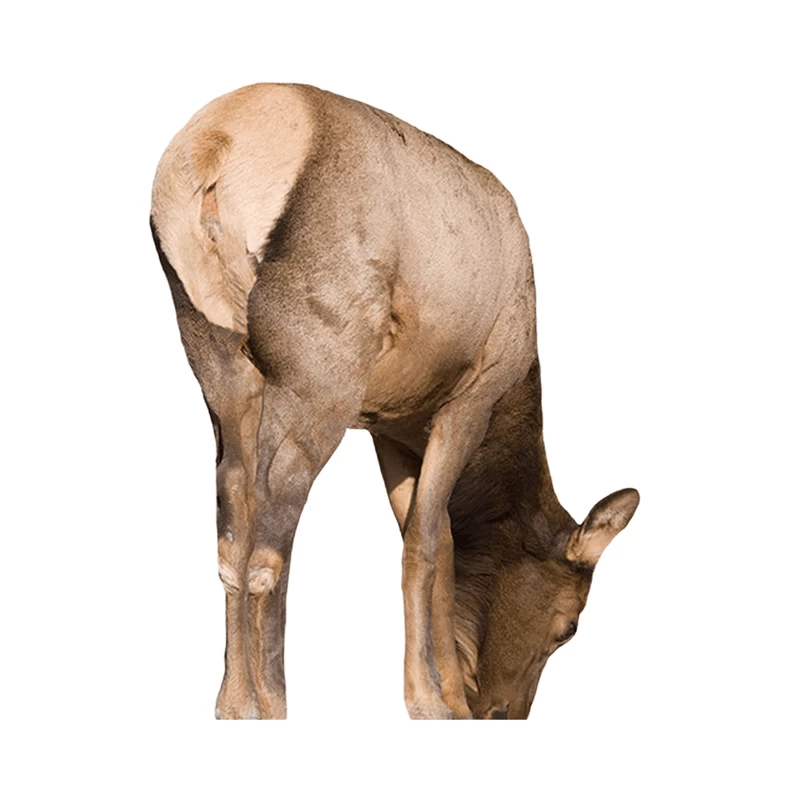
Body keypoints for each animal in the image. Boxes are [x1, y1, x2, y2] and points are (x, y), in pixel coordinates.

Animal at [150, 83, 639, 720]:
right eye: (570, 626)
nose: (502, 710)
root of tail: (216, 148)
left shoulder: (390, 426)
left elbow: (438, 540)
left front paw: (445, 689)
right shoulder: (470, 398)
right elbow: (425, 545)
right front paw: (430, 701)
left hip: (216, 360)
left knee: (231, 517)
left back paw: (233, 703)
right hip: (318, 376)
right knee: (269, 537)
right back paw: (274, 701)